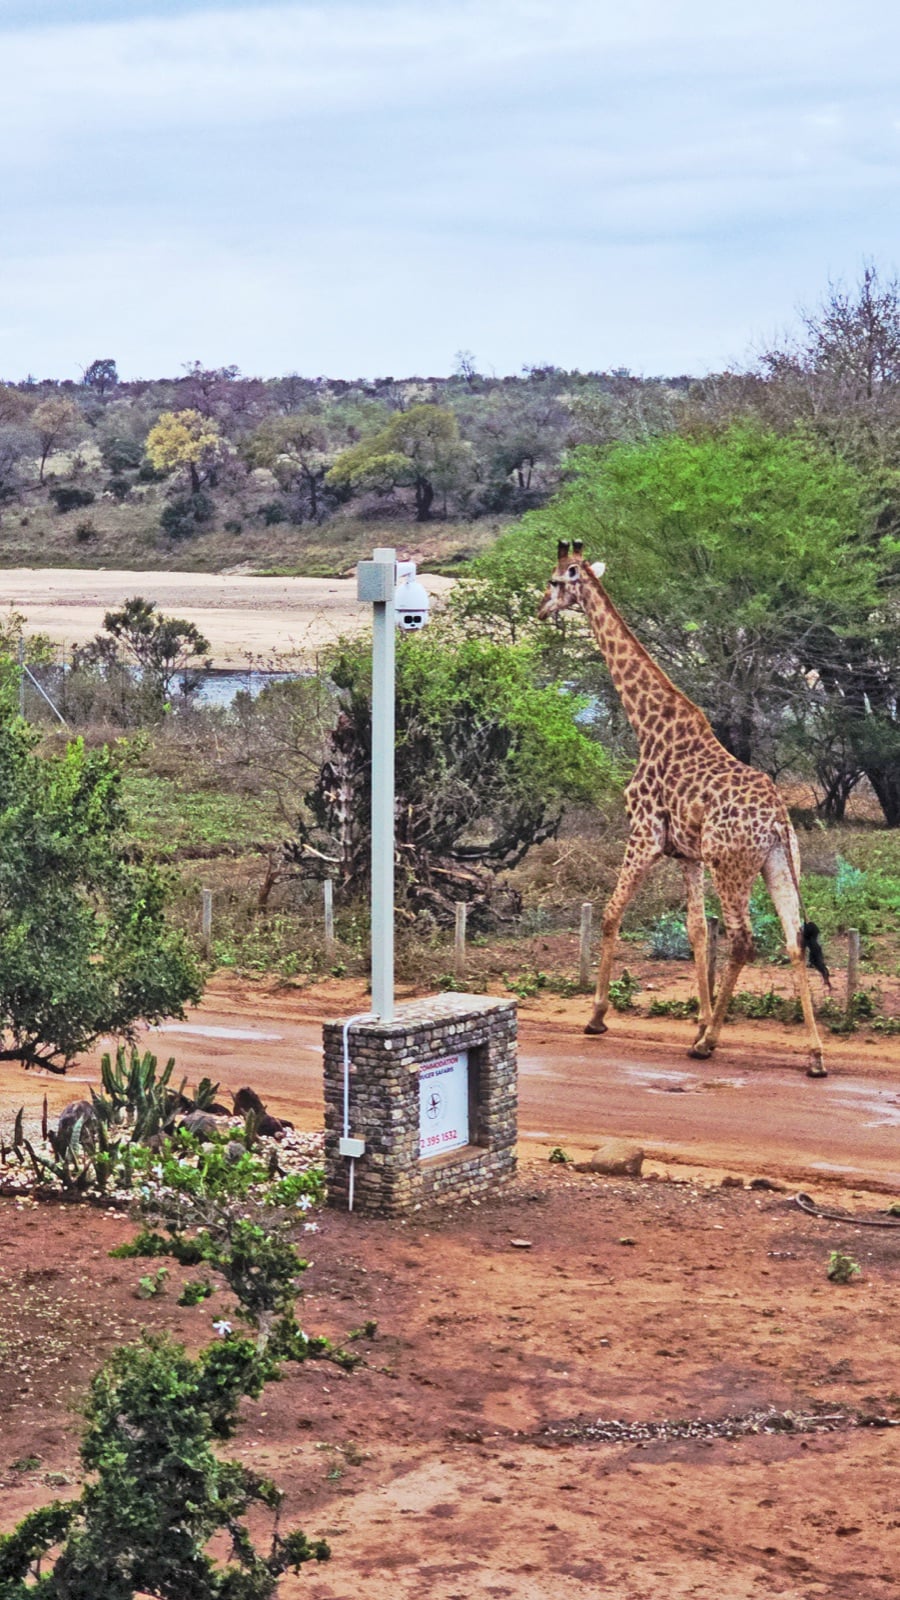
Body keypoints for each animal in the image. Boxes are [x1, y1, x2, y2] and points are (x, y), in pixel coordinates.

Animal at [538, 540, 830, 1077]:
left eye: (555, 580)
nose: (540, 608)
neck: (648, 726)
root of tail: (778, 818)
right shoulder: (687, 855)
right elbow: (695, 931)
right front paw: (699, 1019)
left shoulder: (643, 836)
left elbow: (610, 914)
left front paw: (597, 1016)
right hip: (779, 863)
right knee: (794, 938)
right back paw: (815, 1056)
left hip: (731, 865)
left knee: (744, 939)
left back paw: (709, 1046)